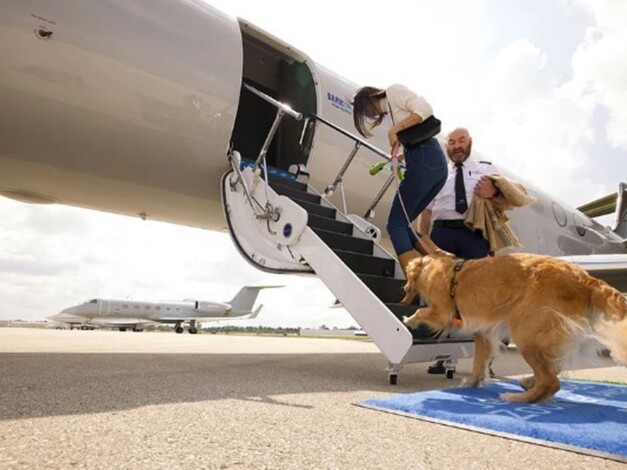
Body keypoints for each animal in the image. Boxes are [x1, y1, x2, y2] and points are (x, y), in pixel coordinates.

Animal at [402, 253, 627, 404]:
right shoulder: (483, 331)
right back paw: (528, 382)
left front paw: (409, 319)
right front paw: (474, 380)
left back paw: (518, 397)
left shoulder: (442, 312)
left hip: (526, 334)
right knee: (554, 368)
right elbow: (479, 361)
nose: (404, 288)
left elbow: (423, 312)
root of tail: (586, 279)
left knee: (551, 381)